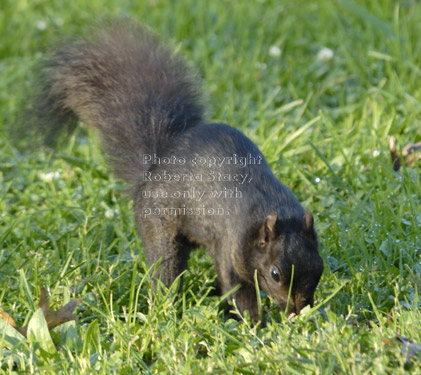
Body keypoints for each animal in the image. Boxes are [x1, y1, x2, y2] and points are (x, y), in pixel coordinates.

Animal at [29, 22, 324, 324]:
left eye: (319, 269)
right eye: (275, 274)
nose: (297, 311)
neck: (272, 210)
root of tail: (151, 170)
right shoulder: (230, 245)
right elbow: (237, 288)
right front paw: (255, 325)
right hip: (159, 227)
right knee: (165, 272)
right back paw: (166, 308)